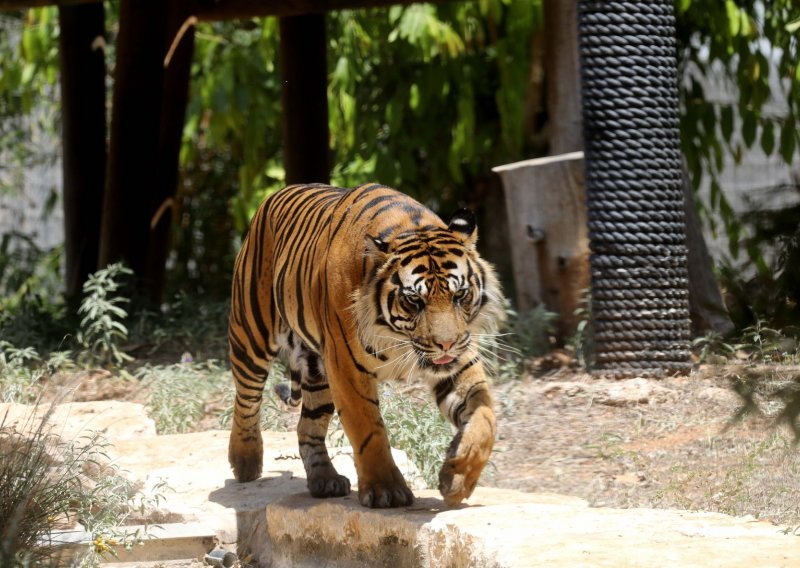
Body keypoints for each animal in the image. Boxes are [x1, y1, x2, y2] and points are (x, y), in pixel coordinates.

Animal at [228, 183, 504, 510]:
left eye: (460, 295)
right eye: (414, 300)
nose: (446, 343)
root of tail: (275, 195)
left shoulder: (459, 362)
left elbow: (484, 419)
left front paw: (457, 477)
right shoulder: (347, 369)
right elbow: (368, 430)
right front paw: (387, 490)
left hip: (317, 373)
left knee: (307, 426)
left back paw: (325, 480)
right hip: (251, 335)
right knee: (246, 400)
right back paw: (245, 461)